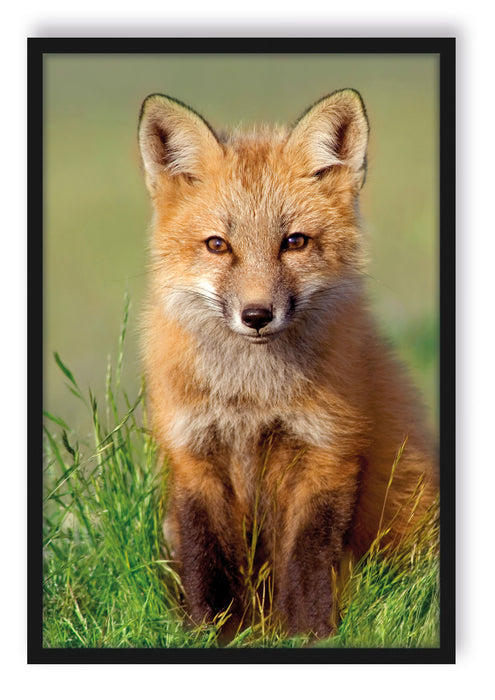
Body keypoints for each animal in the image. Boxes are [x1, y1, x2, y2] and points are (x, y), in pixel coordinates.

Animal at [138, 88, 438, 640]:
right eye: (218, 245)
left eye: (294, 242)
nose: (256, 315)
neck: (252, 399)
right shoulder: (193, 455)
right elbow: (206, 561)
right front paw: (211, 632)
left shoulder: (327, 451)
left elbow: (306, 562)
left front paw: (306, 634)